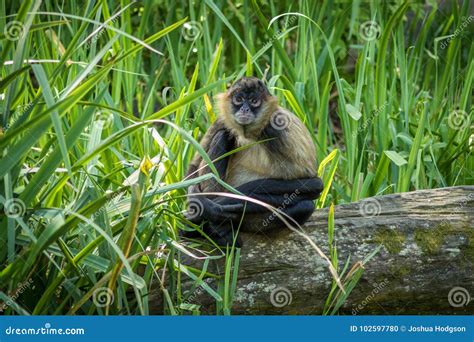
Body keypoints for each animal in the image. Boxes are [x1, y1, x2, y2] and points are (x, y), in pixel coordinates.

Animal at [183, 77, 324, 246]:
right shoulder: (222, 120)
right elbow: (193, 167)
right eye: (239, 99)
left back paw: (217, 228)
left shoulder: (276, 126)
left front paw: (214, 206)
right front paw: (200, 203)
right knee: (222, 135)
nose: (245, 109)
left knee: (305, 205)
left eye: (254, 101)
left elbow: (314, 185)